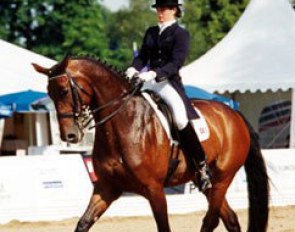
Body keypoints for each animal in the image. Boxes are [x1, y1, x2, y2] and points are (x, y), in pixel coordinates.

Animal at [31, 55, 270, 232]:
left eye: (63, 91)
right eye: (49, 94)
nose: (69, 136)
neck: (122, 123)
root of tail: (234, 114)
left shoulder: (154, 190)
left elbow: (164, 228)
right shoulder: (107, 187)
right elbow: (83, 223)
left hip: (222, 178)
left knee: (211, 221)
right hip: (208, 184)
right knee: (230, 220)